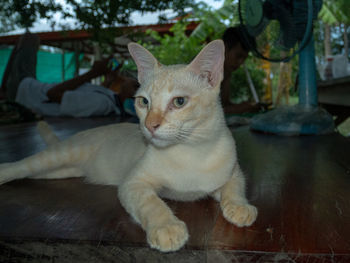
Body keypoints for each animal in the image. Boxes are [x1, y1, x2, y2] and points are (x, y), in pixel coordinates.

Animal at [0, 40, 258, 253]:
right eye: (143, 102)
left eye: (179, 102)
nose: (150, 125)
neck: (190, 152)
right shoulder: (133, 184)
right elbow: (152, 203)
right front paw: (167, 228)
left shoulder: (232, 172)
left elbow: (235, 187)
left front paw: (240, 207)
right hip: (55, 157)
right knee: (16, 165)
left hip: (59, 171)